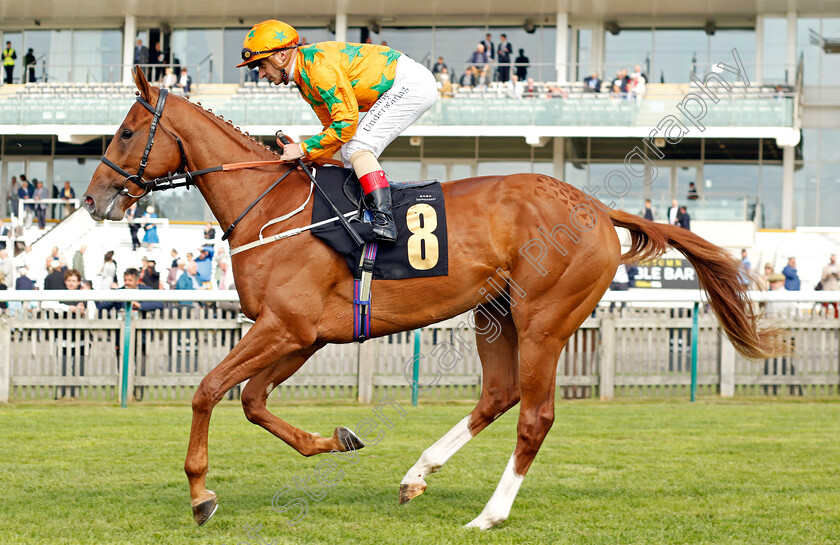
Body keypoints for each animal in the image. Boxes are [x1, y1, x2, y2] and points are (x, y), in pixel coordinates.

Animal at [82, 69, 776, 532]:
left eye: (125, 132)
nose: (93, 200)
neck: (274, 208)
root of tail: (597, 208)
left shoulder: (285, 327)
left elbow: (206, 390)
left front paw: (201, 495)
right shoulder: (303, 334)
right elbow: (252, 402)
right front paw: (337, 440)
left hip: (545, 319)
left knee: (535, 416)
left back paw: (489, 515)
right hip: (494, 315)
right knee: (498, 396)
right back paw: (418, 474)